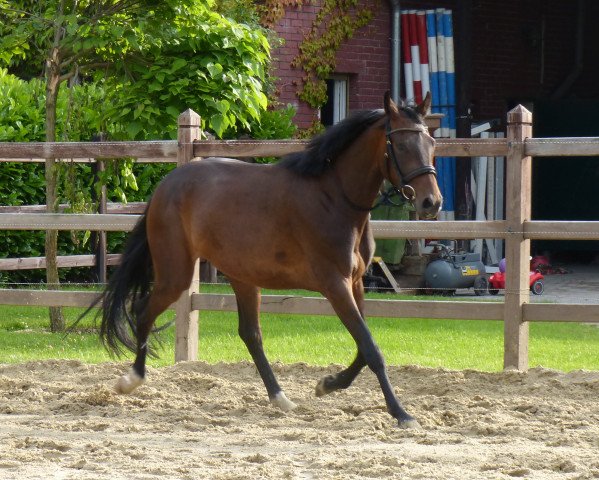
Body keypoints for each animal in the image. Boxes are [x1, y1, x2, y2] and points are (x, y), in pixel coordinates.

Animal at [92, 92, 440, 430]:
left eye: (431, 144)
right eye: (402, 145)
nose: (431, 202)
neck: (335, 198)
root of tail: (166, 185)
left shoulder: (355, 283)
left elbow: (361, 349)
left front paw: (327, 384)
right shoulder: (335, 285)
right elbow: (371, 349)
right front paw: (401, 413)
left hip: (242, 277)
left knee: (251, 334)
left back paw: (280, 397)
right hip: (176, 274)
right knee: (143, 310)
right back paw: (131, 379)